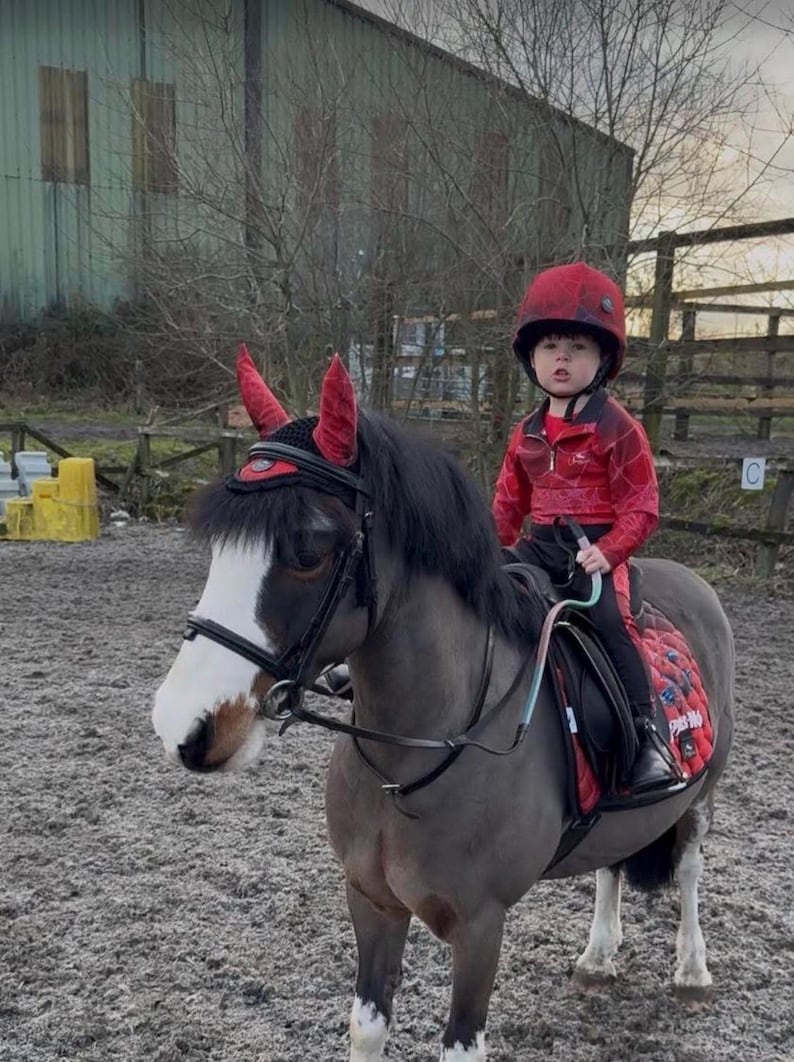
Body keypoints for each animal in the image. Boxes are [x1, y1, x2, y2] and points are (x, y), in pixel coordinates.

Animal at [152, 349, 735, 1061]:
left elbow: (461, 1042)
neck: (413, 758)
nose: (183, 722)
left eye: (309, 550)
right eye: (218, 548)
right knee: (611, 867)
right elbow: (367, 1024)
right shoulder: (371, 902)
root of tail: (693, 581)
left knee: (690, 866)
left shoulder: (481, 927)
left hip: (704, 791)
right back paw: (598, 958)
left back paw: (692, 971)